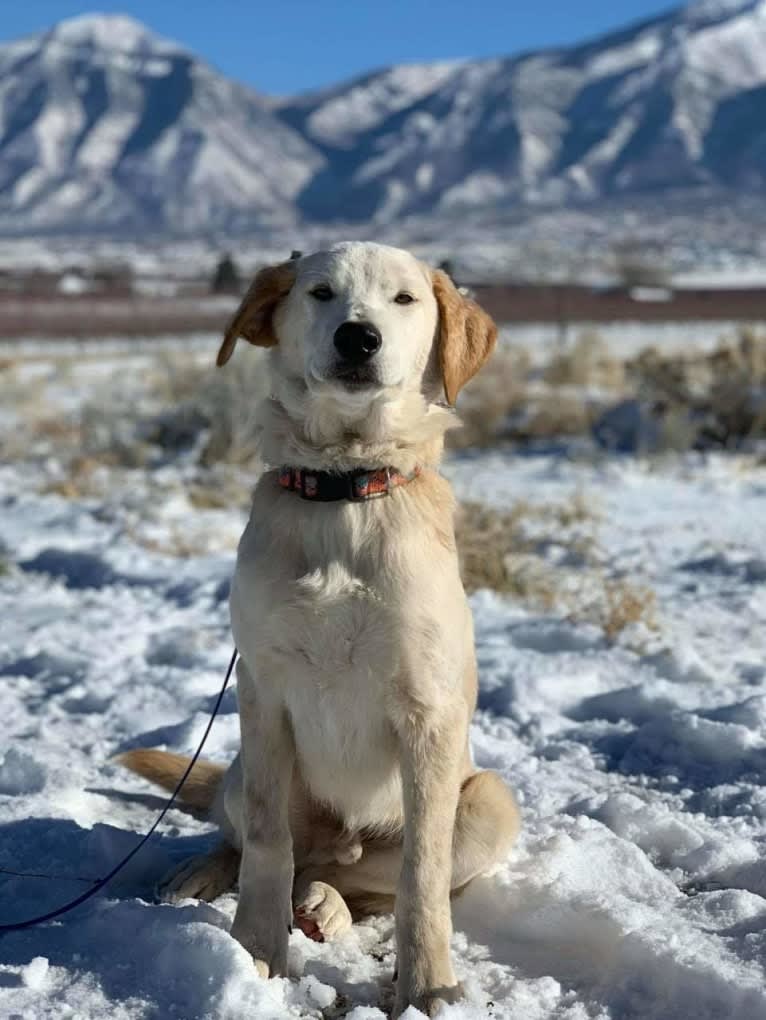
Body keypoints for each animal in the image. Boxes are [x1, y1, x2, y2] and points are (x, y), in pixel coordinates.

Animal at [122, 238, 522, 1011]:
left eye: (404, 299)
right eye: (320, 293)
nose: (358, 338)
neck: (344, 490)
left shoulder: (428, 713)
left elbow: (421, 877)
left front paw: (428, 985)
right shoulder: (263, 690)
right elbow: (267, 844)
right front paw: (253, 953)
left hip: (490, 799)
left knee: (357, 879)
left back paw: (328, 906)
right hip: (244, 760)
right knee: (268, 843)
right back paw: (208, 874)